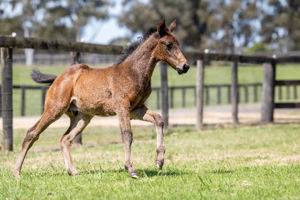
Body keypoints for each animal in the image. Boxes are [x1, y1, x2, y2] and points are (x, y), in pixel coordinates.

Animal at [14, 19, 190, 178]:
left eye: (178, 43)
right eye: (168, 44)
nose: (185, 66)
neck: (133, 72)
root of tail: (59, 78)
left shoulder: (137, 109)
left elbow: (159, 119)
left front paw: (159, 161)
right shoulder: (122, 107)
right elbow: (127, 135)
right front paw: (131, 169)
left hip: (82, 117)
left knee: (65, 139)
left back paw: (73, 171)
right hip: (54, 109)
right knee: (32, 133)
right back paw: (16, 172)